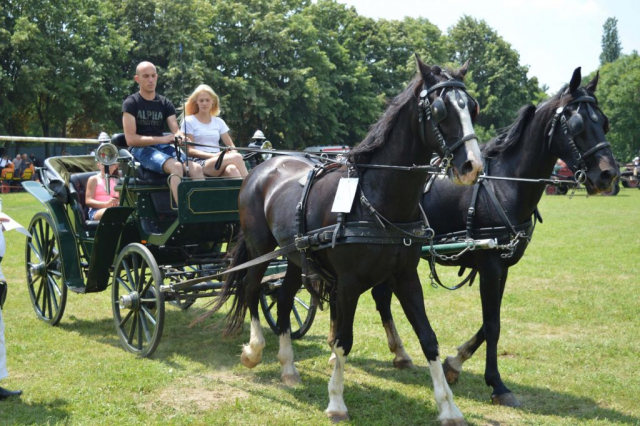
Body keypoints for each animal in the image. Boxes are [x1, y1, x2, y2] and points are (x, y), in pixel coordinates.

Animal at [208, 57, 482, 426]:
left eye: (473, 107)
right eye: (440, 110)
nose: (473, 165)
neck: (376, 197)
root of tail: (263, 166)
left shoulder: (406, 277)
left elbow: (428, 338)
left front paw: (448, 407)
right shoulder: (349, 282)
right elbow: (343, 340)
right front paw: (336, 401)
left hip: (294, 256)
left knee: (283, 299)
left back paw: (288, 368)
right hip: (260, 249)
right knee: (252, 291)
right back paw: (253, 351)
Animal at [358, 68, 616, 408]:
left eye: (604, 121)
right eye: (576, 124)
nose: (608, 175)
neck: (505, 185)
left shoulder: (502, 267)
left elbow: (489, 322)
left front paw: (454, 363)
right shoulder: (490, 265)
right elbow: (493, 325)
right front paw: (497, 384)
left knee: (382, 296)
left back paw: (400, 354)